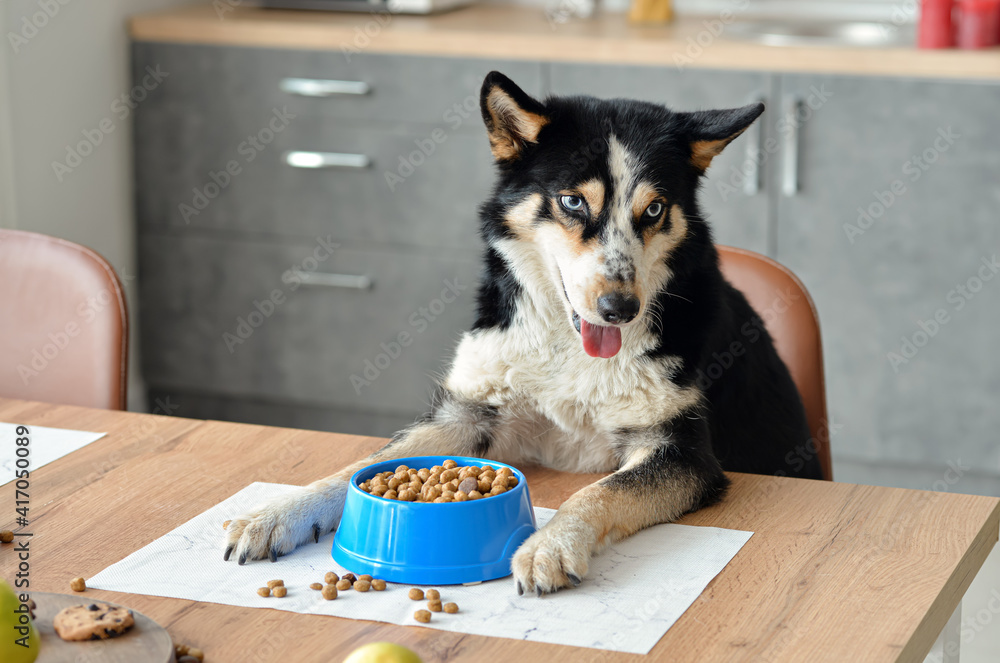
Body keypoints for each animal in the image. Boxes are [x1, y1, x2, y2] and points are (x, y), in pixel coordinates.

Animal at [223, 71, 824, 596]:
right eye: (572, 201)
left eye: (654, 209)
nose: (620, 309)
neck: (567, 349)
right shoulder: (472, 414)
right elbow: (360, 465)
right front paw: (275, 513)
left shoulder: (681, 452)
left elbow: (600, 490)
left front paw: (548, 545)